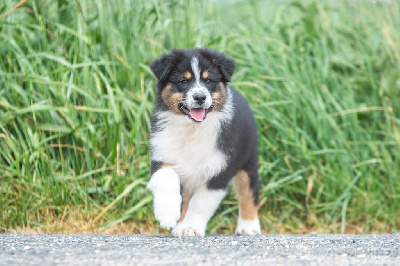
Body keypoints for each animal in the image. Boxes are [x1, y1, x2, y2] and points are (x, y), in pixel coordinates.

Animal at [147, 48, 260, 237]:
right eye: (184, 81)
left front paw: (190, 227)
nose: (200, 97)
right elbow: (167, 180)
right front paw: (167, 215)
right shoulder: (162, 153)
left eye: (209, 80)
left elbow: (200, 203)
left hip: (248, 161)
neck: (192, 130)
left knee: (248, 193)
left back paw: (248, 226)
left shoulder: (220, 169)